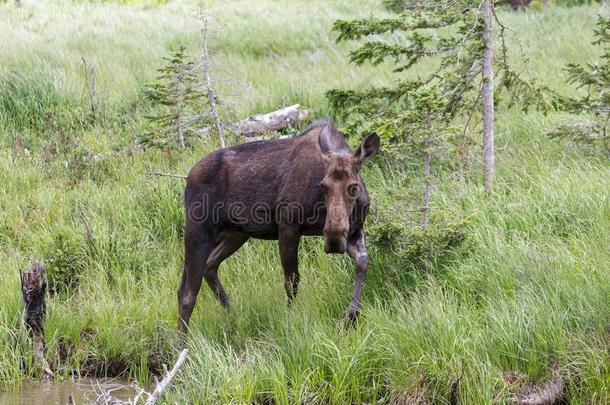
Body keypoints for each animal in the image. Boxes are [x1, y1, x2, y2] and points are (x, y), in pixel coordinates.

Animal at [176, 117, 378, 332]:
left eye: (353, 187)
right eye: (323, 185)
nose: (333, 239)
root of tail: (189, 176)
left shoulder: (355, 230)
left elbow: (363, 262)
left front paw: (351, 317)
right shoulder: (288, 225)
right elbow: (291, 280)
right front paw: (291, 320)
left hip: (236, 233)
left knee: (209, 266)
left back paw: (234, 314)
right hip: (198, 230)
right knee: (187, 293)